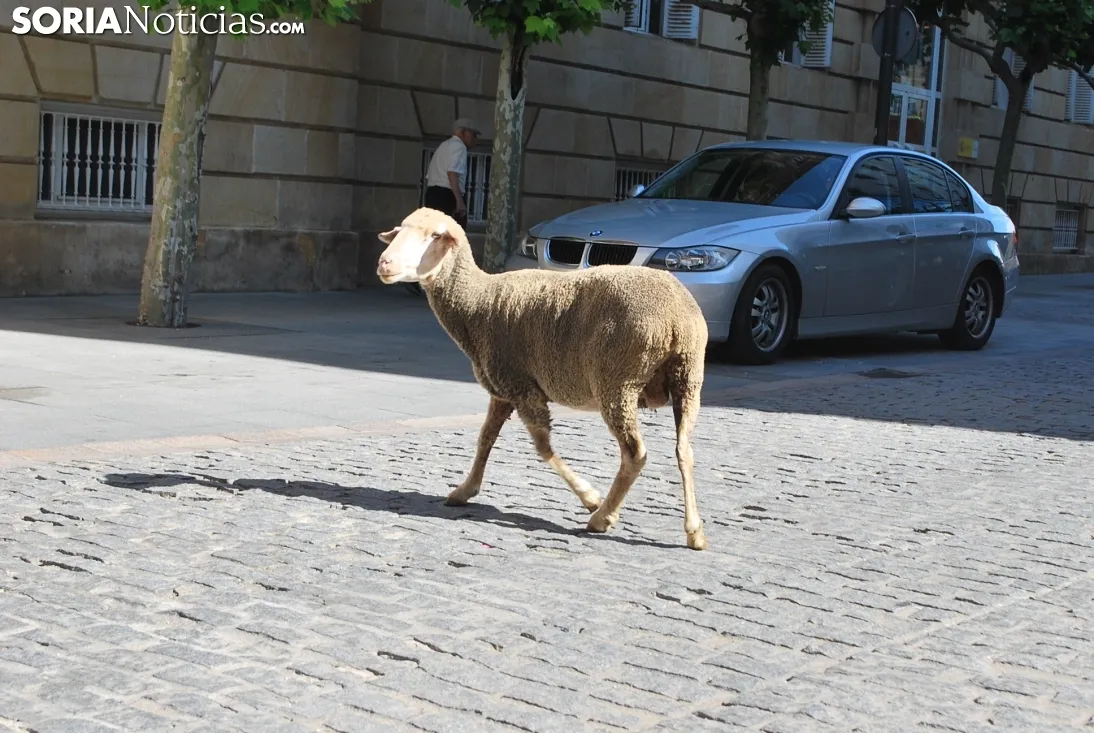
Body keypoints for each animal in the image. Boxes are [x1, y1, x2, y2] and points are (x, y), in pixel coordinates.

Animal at [375, 207, 710, 550]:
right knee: (684, 450)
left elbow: (543, 448)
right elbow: (485, 438)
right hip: (687, 378)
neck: (476, 302)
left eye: (434, 236)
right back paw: (694, 531)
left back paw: (602, 517)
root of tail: (676, 320)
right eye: (400, 231)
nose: (384, 264)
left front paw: (589, 496)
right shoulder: (503, 390)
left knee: (635, 453)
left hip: (617, 380)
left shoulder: (522, 388)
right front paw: (465, 490)